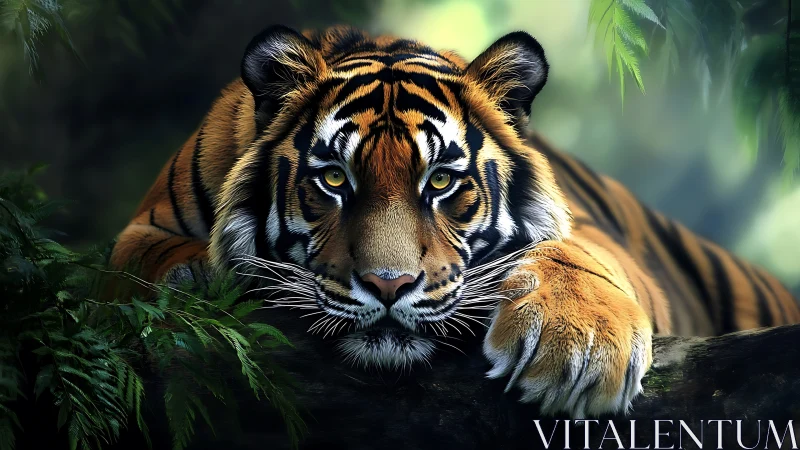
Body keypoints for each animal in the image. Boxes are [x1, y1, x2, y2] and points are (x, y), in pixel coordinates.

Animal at [110, 25, 800, 418]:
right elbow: (144, 264)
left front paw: (579, 351)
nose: (387, 286)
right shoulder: (140, 228)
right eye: (334, 180)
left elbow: (580, 257)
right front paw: (202, 277)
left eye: (441, 182)